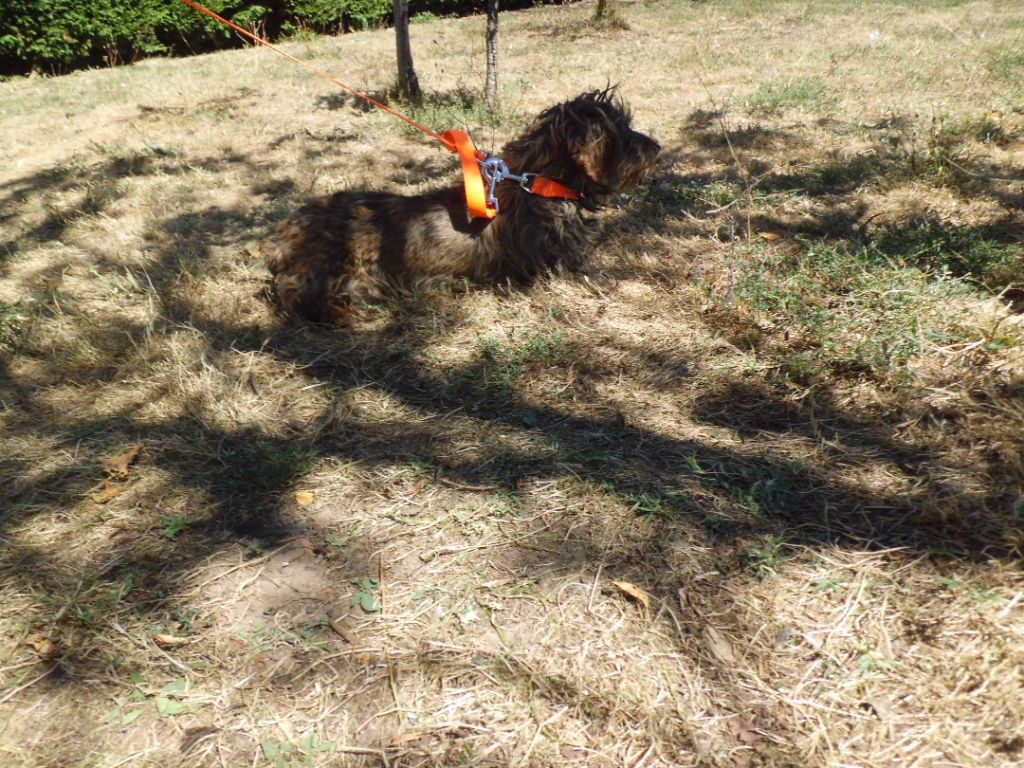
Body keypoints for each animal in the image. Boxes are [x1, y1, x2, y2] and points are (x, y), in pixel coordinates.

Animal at [263, 88, 660, 323]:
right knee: (292, 293)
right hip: (335, 264)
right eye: (623, 132)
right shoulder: (556, 269)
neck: (539, 183)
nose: (656, 147)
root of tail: (282, 236)